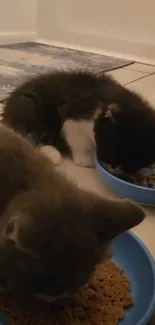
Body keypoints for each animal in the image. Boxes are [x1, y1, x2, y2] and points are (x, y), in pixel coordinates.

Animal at [2, 70, 155, 173]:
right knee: (29, 136)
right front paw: (84, 159)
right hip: (29, 105)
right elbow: (77, 140)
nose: (113, 167)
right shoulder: (74, 117)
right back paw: (51, 154)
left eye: (135, 160)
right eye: (112, 148)